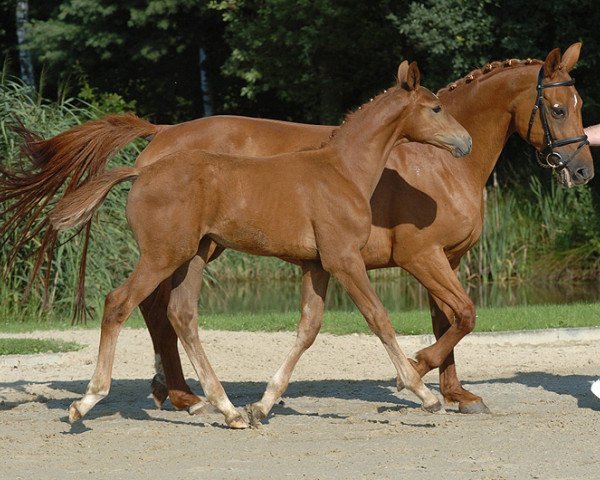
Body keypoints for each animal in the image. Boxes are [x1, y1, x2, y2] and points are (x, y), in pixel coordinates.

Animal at [51, 61, 472, 428]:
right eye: (436, 107)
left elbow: (308, 329)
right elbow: (379, 319)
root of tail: (142, 170)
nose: (465, 142)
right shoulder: (344, 260)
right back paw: (87, 402)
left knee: (181, 315)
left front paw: (262, 405)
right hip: (162, 256)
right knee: (119, 304)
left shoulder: (316, 265)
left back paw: (229, 411)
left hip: (191, 258)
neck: (342, 171)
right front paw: (423, 392)